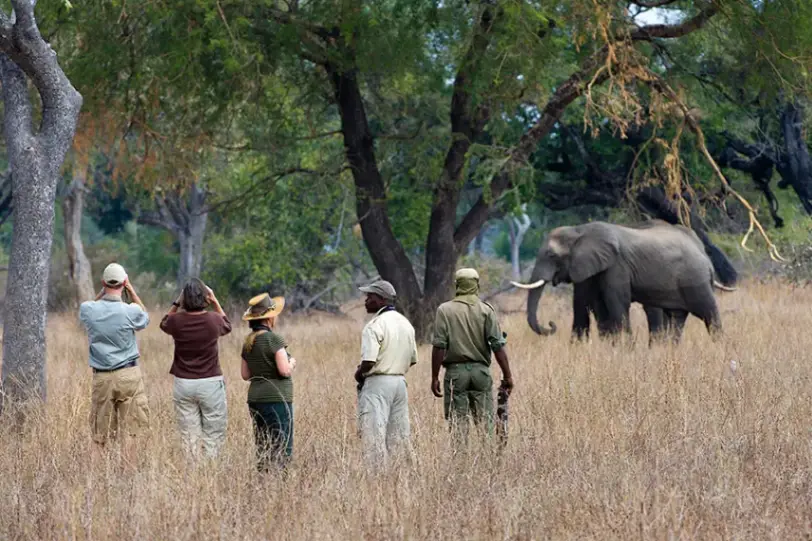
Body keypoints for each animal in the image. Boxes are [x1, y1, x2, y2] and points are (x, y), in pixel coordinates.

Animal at [511, 220, 737, 343]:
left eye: (551, 255)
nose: (551, 324)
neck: (579, 230)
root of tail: (705, 256)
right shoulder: (591, 268)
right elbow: (593, 305)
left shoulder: (617, 266)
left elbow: (616, 303)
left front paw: (625, 349)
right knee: (677, 318)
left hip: (695, 279)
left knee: (709, 314)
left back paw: (721, 347)